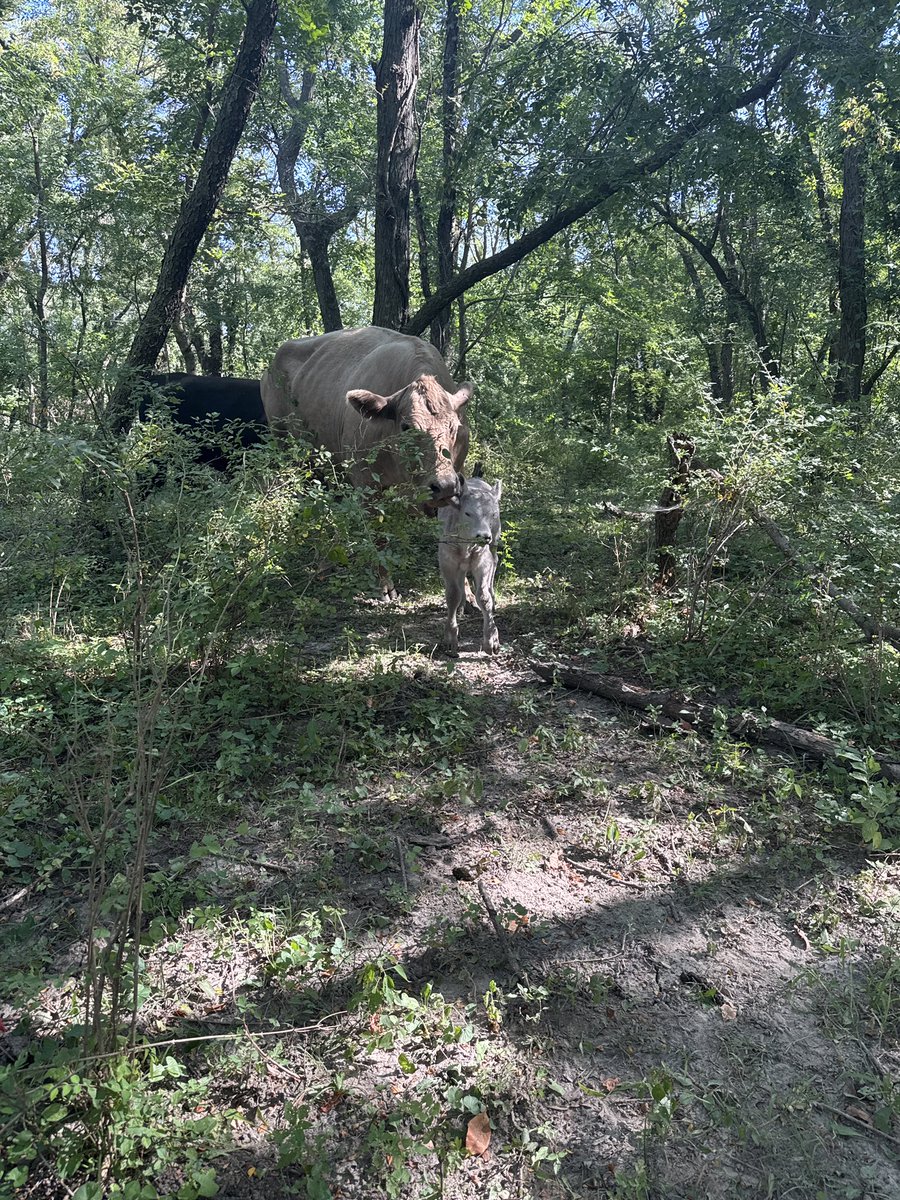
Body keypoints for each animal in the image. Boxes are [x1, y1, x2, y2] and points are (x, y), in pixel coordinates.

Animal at [261, 327, 472, 598]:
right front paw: (386, 587)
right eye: (406, 427)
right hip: (289, 452)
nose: (444, 485)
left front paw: (467, 592)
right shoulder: (368, 486)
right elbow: (378, 535)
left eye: (454, 426)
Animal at [438, 469, 502, 656]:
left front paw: (491, 640)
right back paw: (462, 606)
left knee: (495, 561)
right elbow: (452, 595)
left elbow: (483, 597)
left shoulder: (483, 562)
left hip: (495, 541)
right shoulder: (447, 562)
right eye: (468, 513)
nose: (484, 536)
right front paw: (450, 639)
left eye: (493, 514)